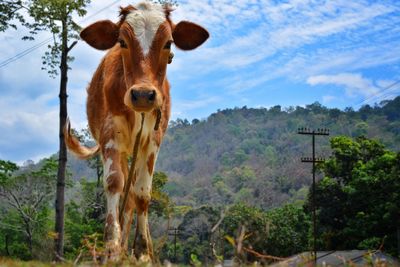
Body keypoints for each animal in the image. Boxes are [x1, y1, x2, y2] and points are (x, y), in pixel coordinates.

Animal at [65, 1, 209, 262]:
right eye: (122, 41)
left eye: (168, 43)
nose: (142, 94)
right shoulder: (111, 135)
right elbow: (114, 184)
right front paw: (112, 248)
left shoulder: (152, 140)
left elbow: (142, 193)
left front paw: (142, 251)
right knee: (124, 190)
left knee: (132, 197)